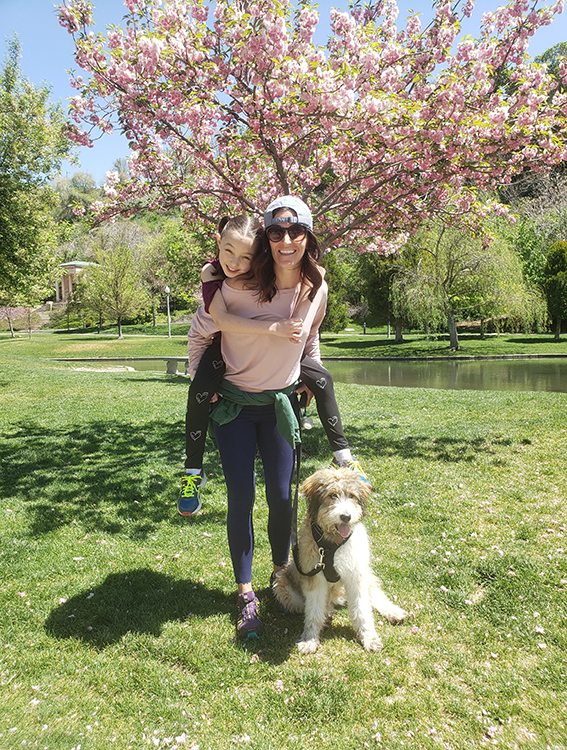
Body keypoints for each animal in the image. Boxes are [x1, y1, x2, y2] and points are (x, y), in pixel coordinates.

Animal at [272, 470, 408, 652]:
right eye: (332, 495)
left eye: (351, 496)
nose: (345, 517)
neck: (332, 544)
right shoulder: (314, 577)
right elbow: (313, 612)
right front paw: (310, 640)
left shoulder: (356, 574)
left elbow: (362, 610)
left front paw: (369, 638)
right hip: (282, 585)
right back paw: (328, 612)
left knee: (375, 594)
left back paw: (393, 612)